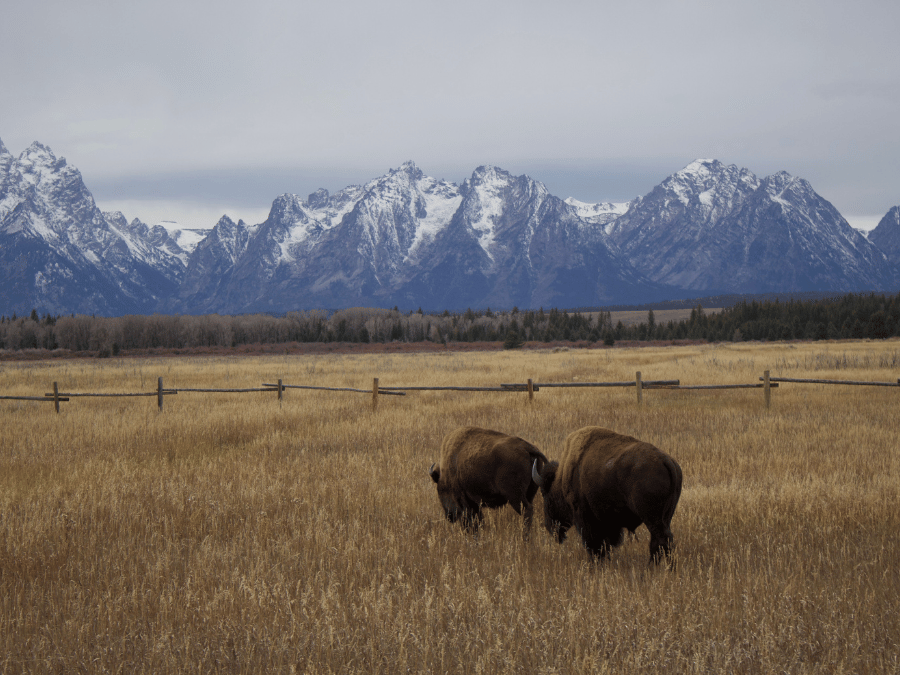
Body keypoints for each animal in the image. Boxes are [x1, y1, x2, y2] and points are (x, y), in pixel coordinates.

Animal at [532, 426, 682, 564]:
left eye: (545, 494)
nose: (550, 528)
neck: (562, 478)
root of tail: (666, 461)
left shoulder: (586, 517)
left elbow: (594, 544)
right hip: (666, 517)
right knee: (661, 541)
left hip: (652, 518)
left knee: (661, 540)